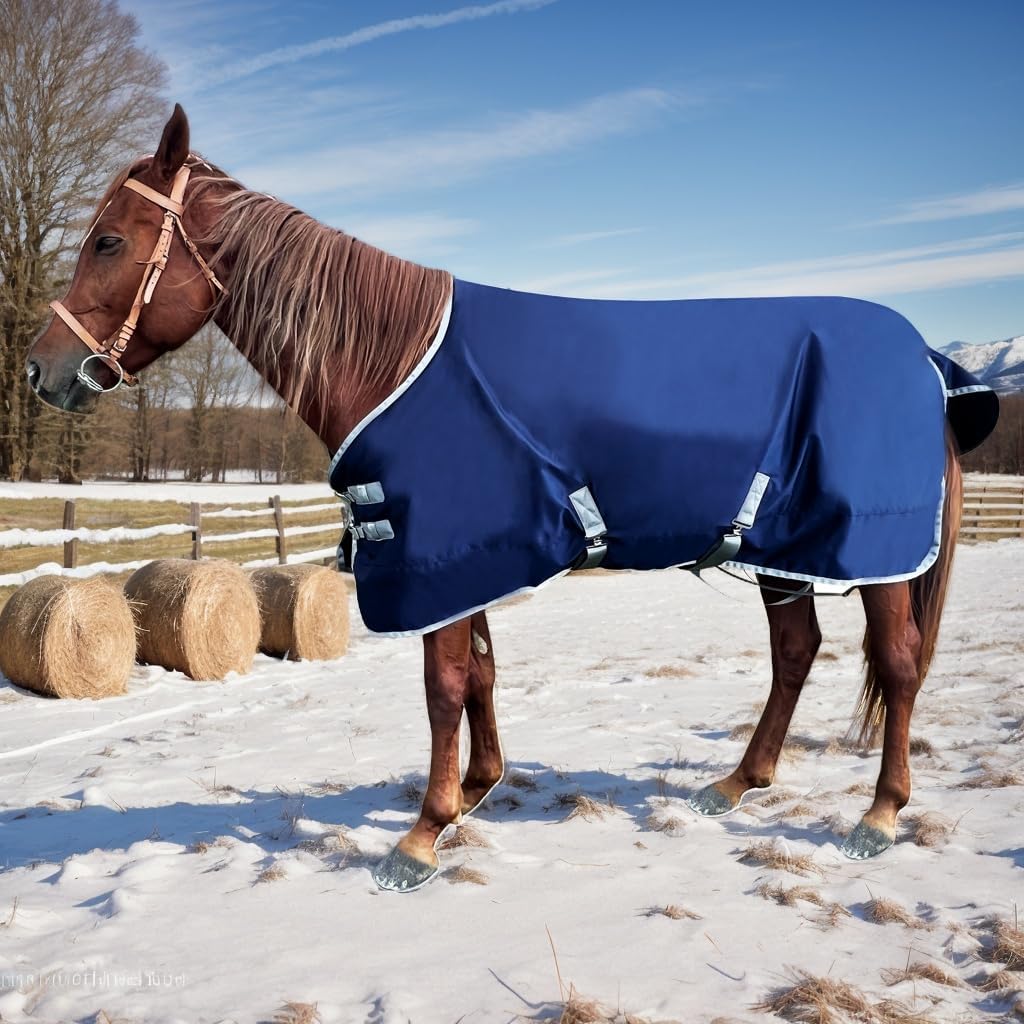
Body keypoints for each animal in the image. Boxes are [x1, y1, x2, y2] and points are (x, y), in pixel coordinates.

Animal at [25, 105, 998, 893]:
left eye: (109, 240)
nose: (41, 370)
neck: (393, 357)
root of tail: (923, 358)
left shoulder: (439, 551)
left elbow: (445, 684)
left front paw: (421, 834)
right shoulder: (466, 555)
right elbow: (482, 672)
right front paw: (474, 791)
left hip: (870, 552)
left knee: (899, 665)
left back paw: (880, 812)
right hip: (781, 548)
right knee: (795, 653)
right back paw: (737, 783)